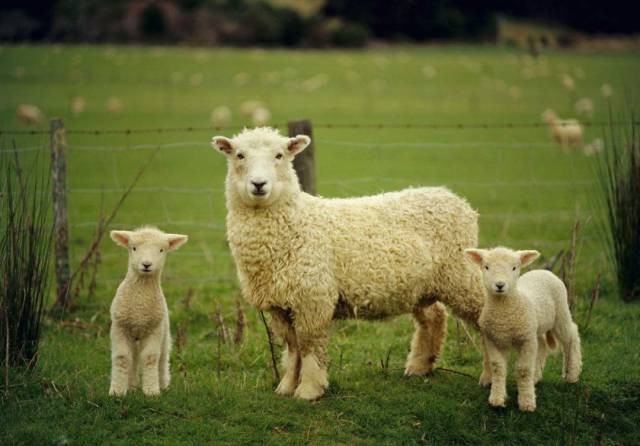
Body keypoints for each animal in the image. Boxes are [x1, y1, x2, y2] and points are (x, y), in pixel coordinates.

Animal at [107, 226, 186, 398]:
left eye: (161, 250)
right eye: (134, 248)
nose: (146, 264)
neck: (140, 306)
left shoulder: (154, 330)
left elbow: (150, 358)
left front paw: (151, 391)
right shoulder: (120, 328)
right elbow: (122, 358)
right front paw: (117, 391)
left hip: (164, 334)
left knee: (162, 359)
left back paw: (162, 384)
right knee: (134, 359)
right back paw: (131, 386)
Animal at [212, 126, 488, 400]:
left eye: (279, 155)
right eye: (239, 155)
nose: (259, 184)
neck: (296, 222)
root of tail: (454, 198)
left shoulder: (312, 298)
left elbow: (308, 345)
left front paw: (309, 390)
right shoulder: (279, 304)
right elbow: (292, 347)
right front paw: (287, 386)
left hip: (460, 275)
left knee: (485, 319)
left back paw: (488, 377)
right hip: (420, 285)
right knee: (434, 317)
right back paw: (419, 367)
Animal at [462, 247, 584, 412]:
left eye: (514, 267)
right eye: (486, 267)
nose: (500, 285)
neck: (504, 314)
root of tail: (542, 271)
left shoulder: (526, 340)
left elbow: (523, 370)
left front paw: (526, 402)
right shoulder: (494, 340)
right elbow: (498, 368)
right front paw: (497, 399)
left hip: (561, 313)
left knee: (571, 336)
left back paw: (572, 374)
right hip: (535, 327)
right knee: (542, 346)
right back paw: (536, 377)